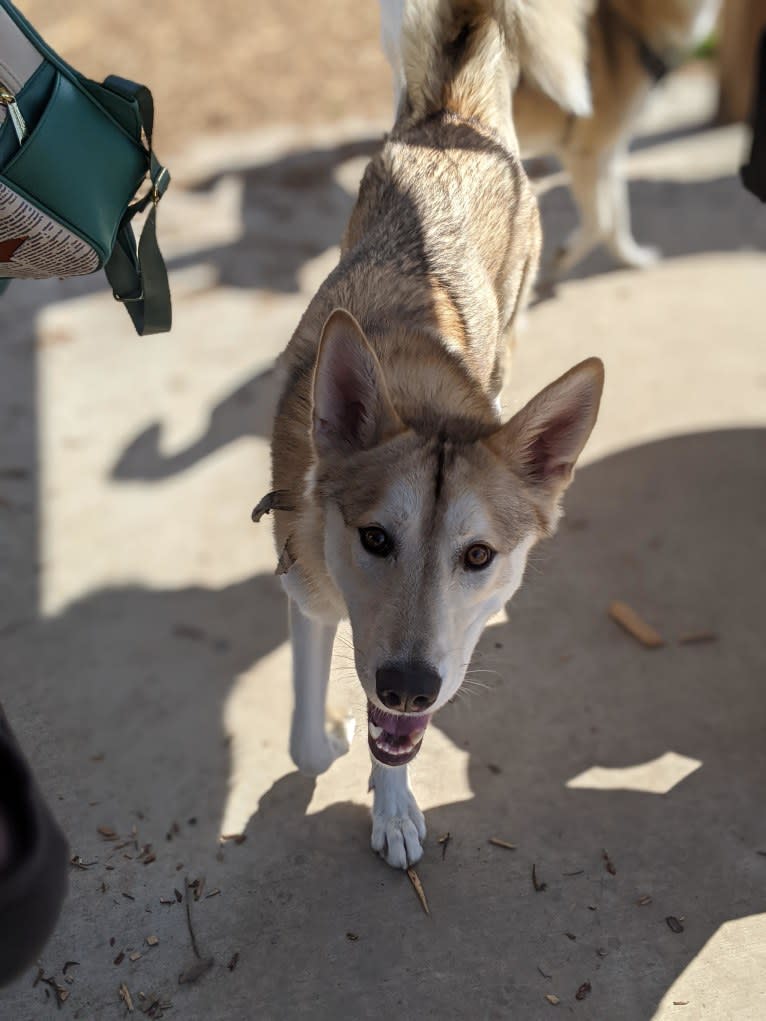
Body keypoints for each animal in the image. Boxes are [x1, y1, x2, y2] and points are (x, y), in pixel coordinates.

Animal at [263, 3, 604, 873]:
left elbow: (403, 733)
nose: (408, 683)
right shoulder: (304, 590)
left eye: (478, 555)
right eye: (375, 538)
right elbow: (306, 745)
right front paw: (339, 741)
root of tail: (455, 117)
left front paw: (391, 804)